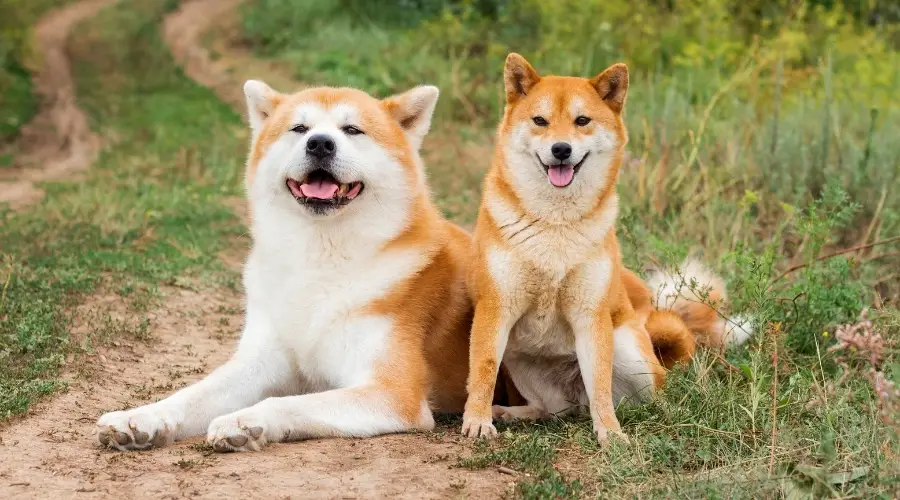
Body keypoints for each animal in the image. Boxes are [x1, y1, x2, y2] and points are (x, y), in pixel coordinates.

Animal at [460, 54, 748, 444]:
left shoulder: (590, 316)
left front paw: (610, 434)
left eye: (582, 121)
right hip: (519, 360)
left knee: (642, 395)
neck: (556, 226)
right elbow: (484, 371)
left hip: (630, 354)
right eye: (540, 121)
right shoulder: (496, 309)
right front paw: (477, 420)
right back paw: (510, 412)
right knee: (552, 410)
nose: (561, 149)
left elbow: (599, 384)